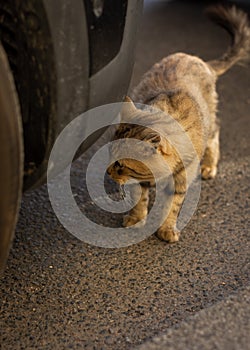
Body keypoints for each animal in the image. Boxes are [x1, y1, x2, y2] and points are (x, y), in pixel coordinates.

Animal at [107, 5, 250, 242]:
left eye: (121, 165)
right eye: (110, 156)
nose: (108, 172)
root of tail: (201, 61)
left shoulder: (179, 182)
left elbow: (172, 208)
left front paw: (166, 229)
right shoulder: (139, 181)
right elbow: (139, 199)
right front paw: (136, 219)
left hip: (210, 121)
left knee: (216, 132)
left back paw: (209, 165)